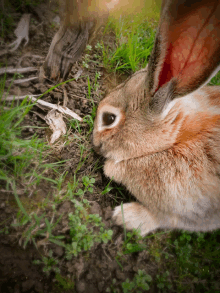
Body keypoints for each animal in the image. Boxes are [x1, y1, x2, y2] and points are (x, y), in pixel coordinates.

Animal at [92, 0, 220, 235]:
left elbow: (166, 219)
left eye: (108, 119)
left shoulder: (196, 209)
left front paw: (126, 217)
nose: (94, 143)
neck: (177, 139)